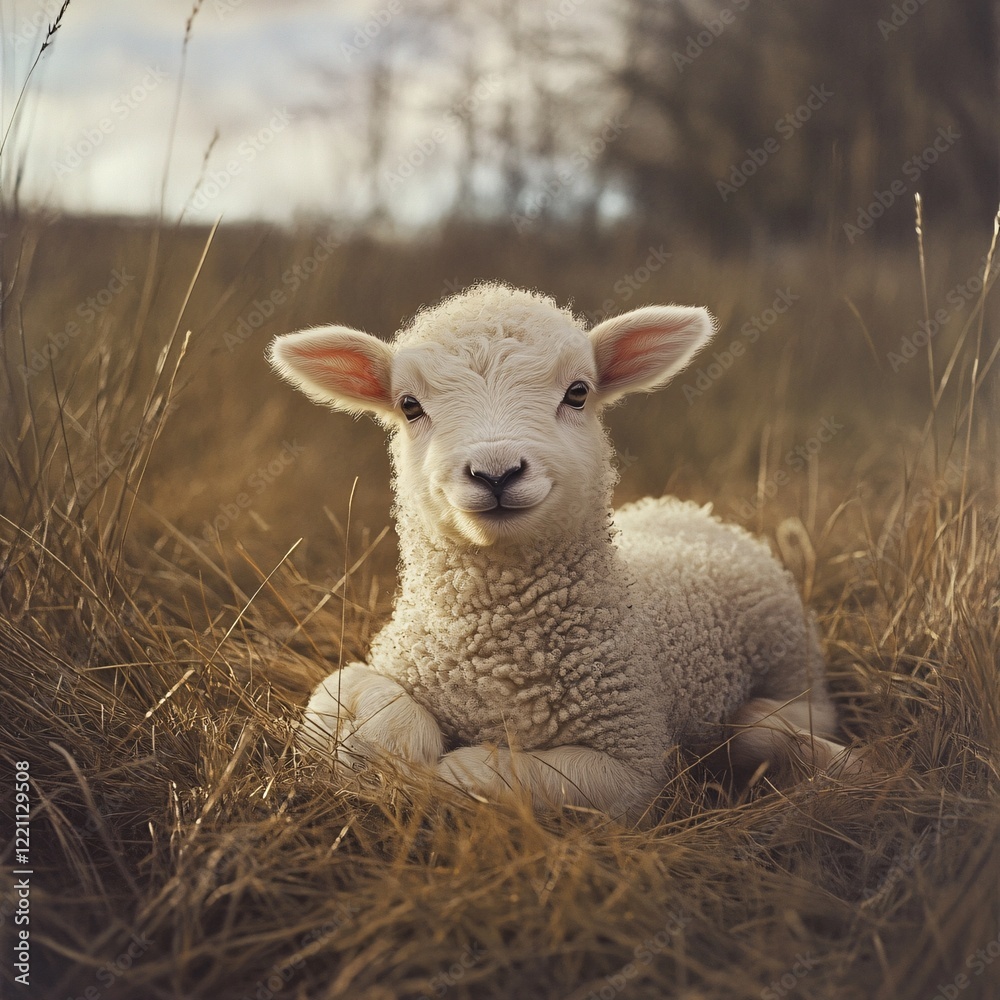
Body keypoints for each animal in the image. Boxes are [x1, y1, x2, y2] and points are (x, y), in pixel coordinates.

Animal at [268, 282, 859, 822]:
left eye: (577, 393)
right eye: (410, 406)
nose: (496, 472)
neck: (495, 652)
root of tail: (692, 510)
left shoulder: (629, 765)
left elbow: (513, 779)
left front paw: (446, 774)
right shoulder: (370, 671)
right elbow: (358, 704)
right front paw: (392, 757)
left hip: (796, 667)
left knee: (776, 724)